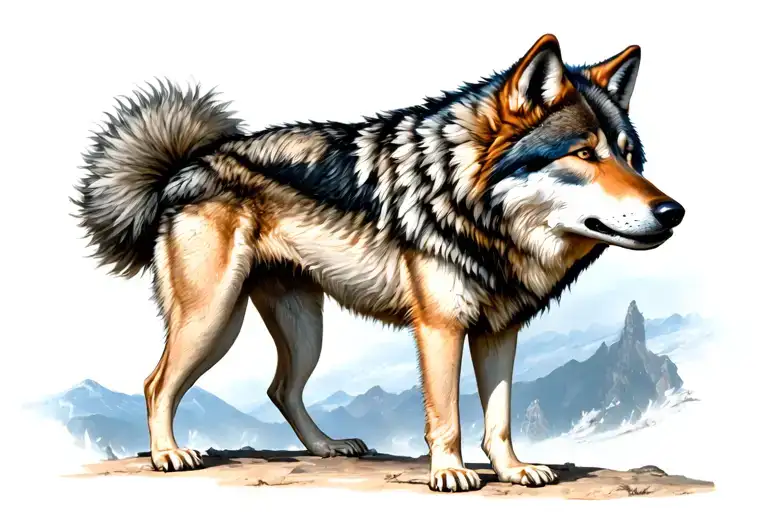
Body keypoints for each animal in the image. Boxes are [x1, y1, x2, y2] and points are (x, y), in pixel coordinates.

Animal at [73, 34, 685, 492]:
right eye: (583, 154)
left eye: (629, 157)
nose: (673, 211)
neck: (473, 208)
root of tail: (183, 167)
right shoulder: (440, 328)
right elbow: (447, 415)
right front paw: (451, 474)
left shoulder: (498, 331)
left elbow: (500, 418)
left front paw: (512, 471)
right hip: (214, 320)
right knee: (157, 383)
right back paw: (168, 455)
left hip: (302, 329)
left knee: (280, 389)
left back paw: (326, 447)